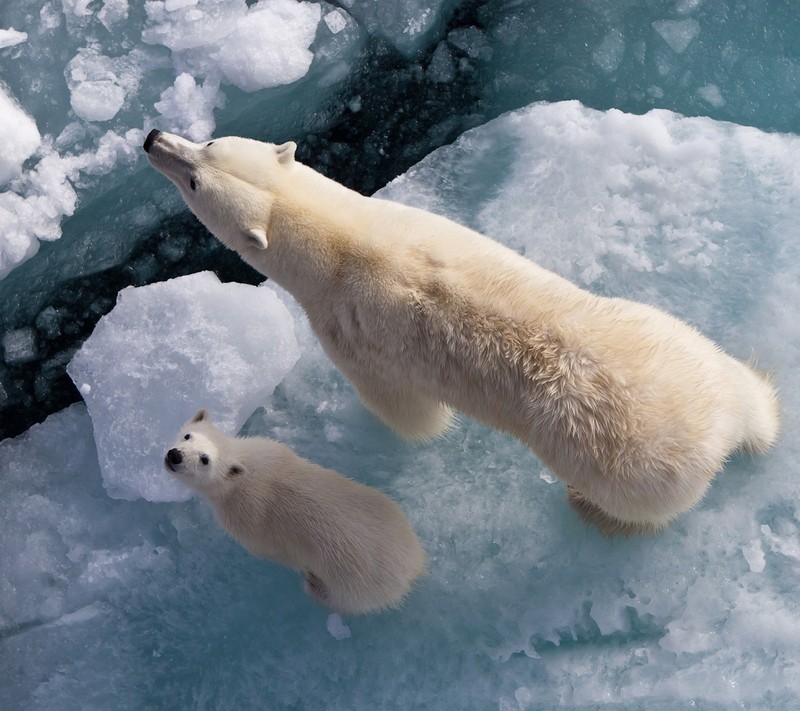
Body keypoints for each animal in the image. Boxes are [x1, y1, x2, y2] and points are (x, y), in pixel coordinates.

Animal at [145, 131, 780, 536]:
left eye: (196, 176)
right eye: (209, 146)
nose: (153, 138)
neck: (342, 243)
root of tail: (717, 429)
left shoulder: (348, 332)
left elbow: (405, 410)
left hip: (629, 467)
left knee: (638, 506)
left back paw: (589, 509)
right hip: (676, 340)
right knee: (743, 386)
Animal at [162, 408, 424, 616]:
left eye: (205, 459)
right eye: (188, 435)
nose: (175, 455)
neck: (247, 470)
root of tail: (412, 566)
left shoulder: (246, 520)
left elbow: (269, 550)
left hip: (354, 582)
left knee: (345, 601)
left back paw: (314, 585)